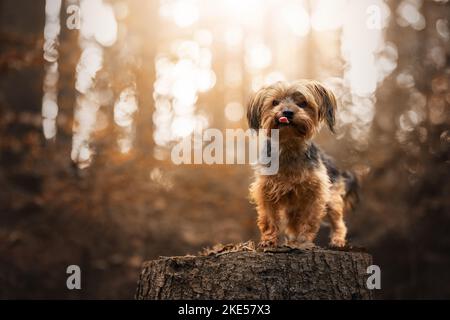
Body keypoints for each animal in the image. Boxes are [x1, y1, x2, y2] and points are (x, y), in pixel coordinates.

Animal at [248, 79, 356, 248]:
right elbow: (269, 217)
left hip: (332, 197)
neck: (289, 145)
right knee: (293, 222)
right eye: (275, 102)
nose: (287, 112)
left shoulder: (315, 191)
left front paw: (304, 240)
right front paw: (268, 240)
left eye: (303, 103)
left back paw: (337, 240)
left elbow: (309, 219)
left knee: (338, 221)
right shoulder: (266, 189)